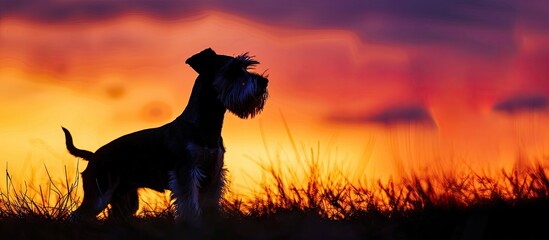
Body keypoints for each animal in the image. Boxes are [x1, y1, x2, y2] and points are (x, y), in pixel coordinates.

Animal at [62, 47, 268, 226]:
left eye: (245, 67)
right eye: (232, 70)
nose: (263, 82)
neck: (206, 125)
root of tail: (93, 155)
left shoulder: (213, 176)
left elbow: (210, 205)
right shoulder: (186, 172)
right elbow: (189, 205)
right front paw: (192, 225)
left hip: (125, 199)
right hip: (98, 194)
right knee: (77, 215)